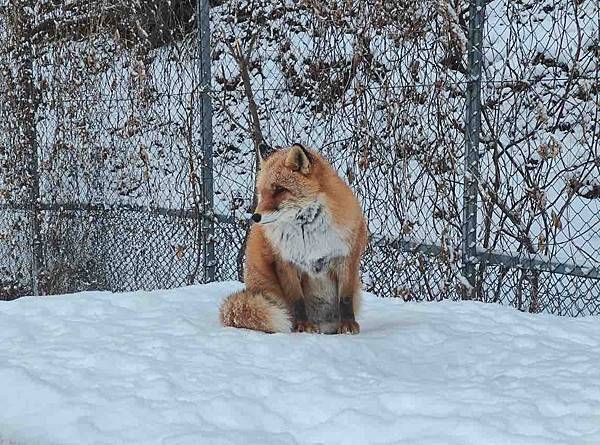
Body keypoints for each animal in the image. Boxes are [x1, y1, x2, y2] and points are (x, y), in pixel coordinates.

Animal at [220, 142, 368, 332]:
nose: (255, 217)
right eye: (262, 192)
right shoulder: (285, 262)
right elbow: (297, 300)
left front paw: (348, 325)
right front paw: (303, 326)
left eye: (279, 189)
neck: (310, 232)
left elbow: (345, 298)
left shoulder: (346, 256)